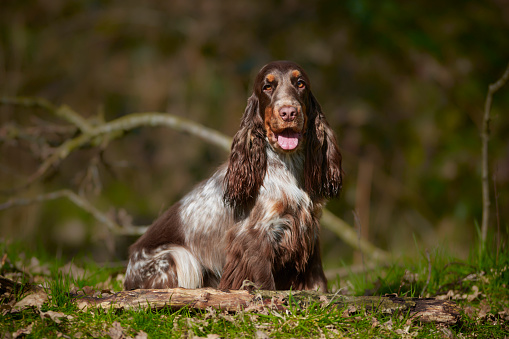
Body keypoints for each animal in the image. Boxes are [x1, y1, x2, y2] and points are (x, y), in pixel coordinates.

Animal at [123, 61, 342, 292]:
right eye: (267, 87)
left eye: (300, 83)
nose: (288, 112)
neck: (288, 164)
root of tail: (127, 276)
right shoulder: (253, 235)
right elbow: (264, 279)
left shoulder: (309, 228)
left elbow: (316, 277)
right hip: (178, 256)